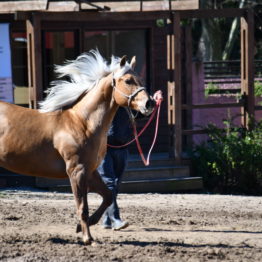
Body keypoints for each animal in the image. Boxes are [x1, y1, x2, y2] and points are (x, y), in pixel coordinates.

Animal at [0, 50, 156, 244]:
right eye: (128, 80)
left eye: (140, 79)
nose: (150, 103)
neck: (82, 122)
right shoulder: (77, 171)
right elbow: (82, 206)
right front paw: (88, 239)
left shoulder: (90, 171)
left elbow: (107, 196)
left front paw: (82, 227)